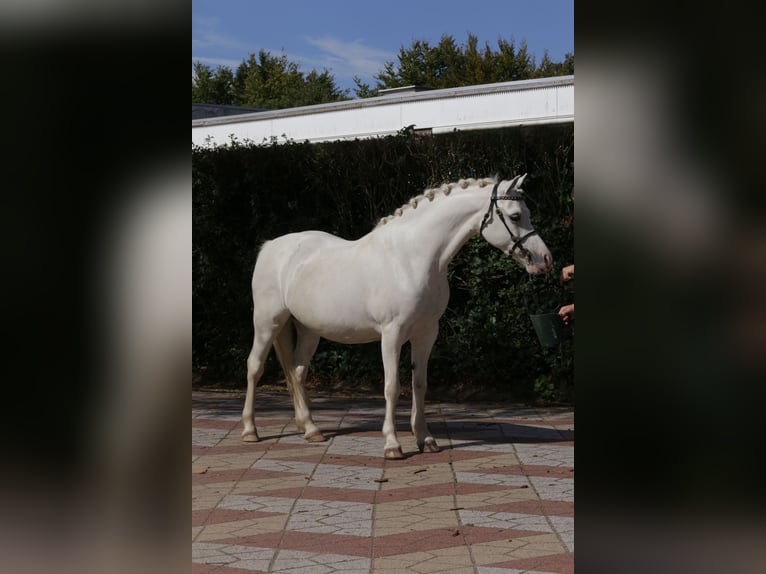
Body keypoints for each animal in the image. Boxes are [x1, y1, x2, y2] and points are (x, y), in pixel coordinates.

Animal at [243, 174, 548, 460]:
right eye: (515, 215)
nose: (545, 260)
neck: (412, 258)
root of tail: (270, 246)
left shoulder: (426, 334)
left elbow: (419, 385)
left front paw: (426, 439)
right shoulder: (392, 334)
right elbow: (392, 387)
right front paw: (392, 444)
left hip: (308, 330)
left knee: (297, 372)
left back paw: (310, 429)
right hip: (267, 323)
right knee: (255, 367)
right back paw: (250, 430)